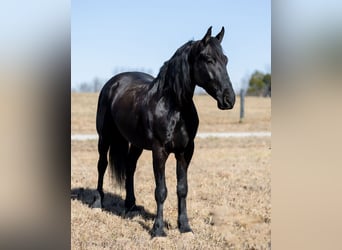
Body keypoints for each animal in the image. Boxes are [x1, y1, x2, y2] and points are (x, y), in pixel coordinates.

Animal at [95, 26, 235, 236]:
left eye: (225, 60)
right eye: (209, 60)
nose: (229, 99)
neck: (173, 107)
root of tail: (113, 83)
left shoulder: (185, 151)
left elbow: (182, 188)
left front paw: (184, 227)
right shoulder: (159, 151)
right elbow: (161, 190)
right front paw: (158, 230)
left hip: (136, 143)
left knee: (130, 167)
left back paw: (130, 206)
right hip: (104, 137)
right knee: (102, 165)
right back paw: (98, 202)